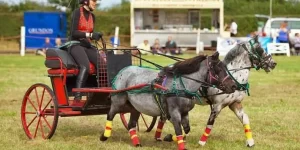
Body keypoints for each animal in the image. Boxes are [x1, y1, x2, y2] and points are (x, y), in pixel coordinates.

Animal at [100, 51, 237, 150]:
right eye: (219, 69)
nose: (233, 86)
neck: (183, 85)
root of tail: (123, 71)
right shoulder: (174, 112)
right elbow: (179, 130)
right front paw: (178, 144)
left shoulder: (184, 112)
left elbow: (186, 130)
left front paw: (168, 137)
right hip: (118, 101)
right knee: (110, 114)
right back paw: (104, 136)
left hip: (135, 107)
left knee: (131, 125)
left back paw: (137, 143)